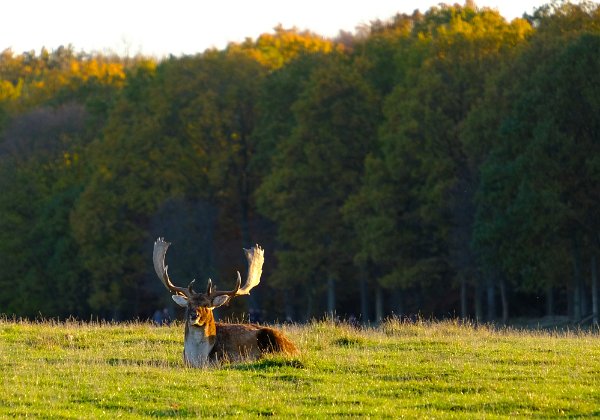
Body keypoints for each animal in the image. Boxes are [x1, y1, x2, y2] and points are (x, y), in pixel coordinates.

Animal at [152, 238, 298, 366]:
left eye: (207, 306)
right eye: (189, 305)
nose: (194, 315)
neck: (199, 360)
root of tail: (296, 348)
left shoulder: (228, 358)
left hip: (271, 337)